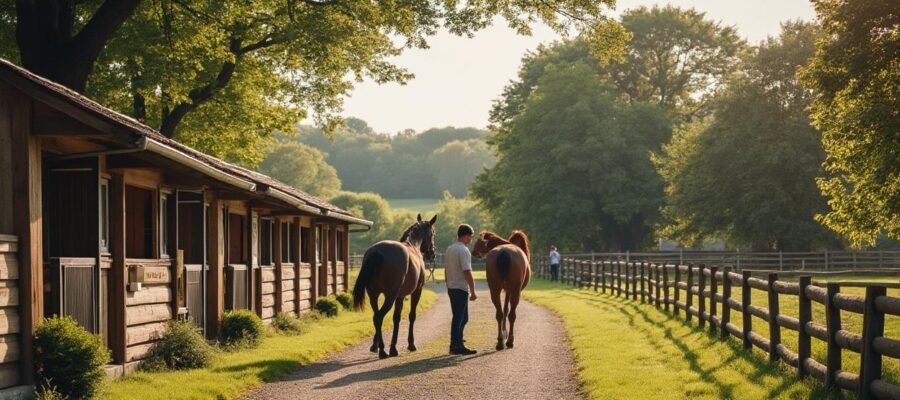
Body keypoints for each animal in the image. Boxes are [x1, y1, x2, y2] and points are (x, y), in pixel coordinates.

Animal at [352, 214, 437, 359]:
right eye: (433, 233)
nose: (432, 254)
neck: (413, 246)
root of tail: (378, 252)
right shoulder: (416, 292)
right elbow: (411, 316)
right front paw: (410, 344)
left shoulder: (400, 296)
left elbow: (396, 318)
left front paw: (389, 347)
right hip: (389, 297)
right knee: (379, 317)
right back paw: (382, 351)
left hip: (373, 296)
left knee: (376, 317)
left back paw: (378, 347)